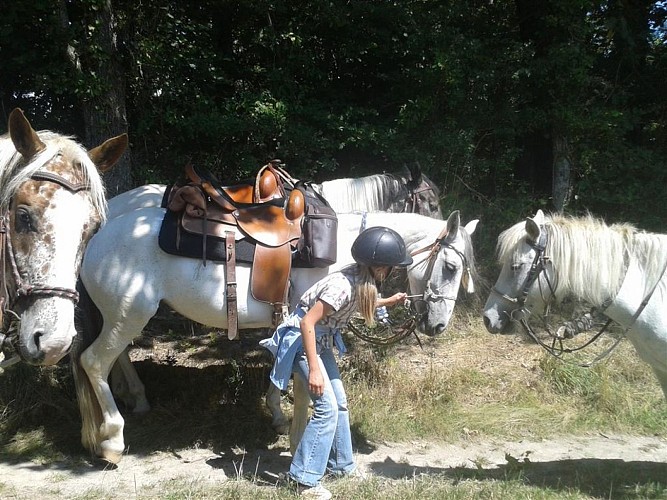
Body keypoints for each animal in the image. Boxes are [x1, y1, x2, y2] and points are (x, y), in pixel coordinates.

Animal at [73, 208, 479, 463]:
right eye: (450, 266)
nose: (438, 326)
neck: (345, 247)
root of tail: (96, 238)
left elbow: (279, 364)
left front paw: (278, 415)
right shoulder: (306, 320)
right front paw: (295, 430)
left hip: (122, 317)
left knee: (114, 358)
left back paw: (136, 400)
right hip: (129, 315)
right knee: (93, 362)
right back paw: (112, 440)